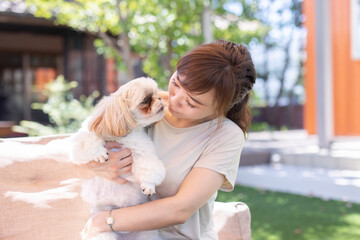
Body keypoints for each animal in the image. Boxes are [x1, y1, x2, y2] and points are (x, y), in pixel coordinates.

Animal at [69, 77, 166, 240]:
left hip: (146, 234)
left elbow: (148, 167)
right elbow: (90, 139)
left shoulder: (143, 152)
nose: (160, 99)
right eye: (146, 100)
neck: (121, 135)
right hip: (103, 234)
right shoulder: (81, 141)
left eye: (156, 94)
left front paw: (148, 185)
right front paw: (99, 152)